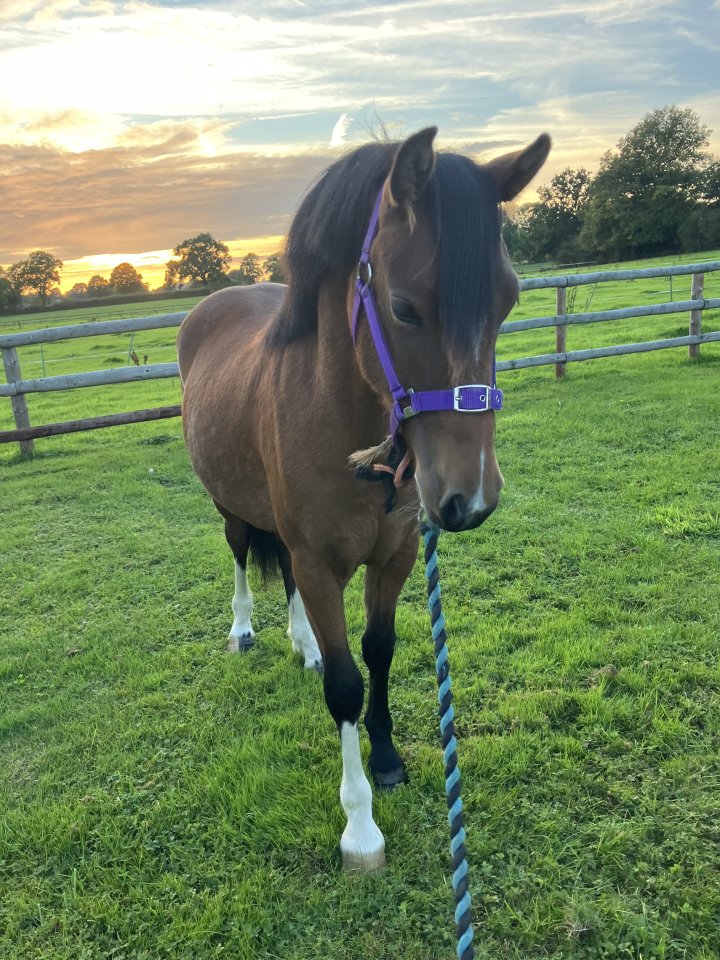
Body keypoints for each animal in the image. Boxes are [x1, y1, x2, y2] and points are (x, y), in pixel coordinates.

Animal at [177, 126, 550, 870]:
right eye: (404, 307)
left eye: (509, 300)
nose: (471, 497)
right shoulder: (322, 563)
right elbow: (346, 687)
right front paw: (360, 826)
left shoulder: (397, 552)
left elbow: (377, 651)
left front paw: (384, 757)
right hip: (232, 510)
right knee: (240, 555)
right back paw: (243, 630)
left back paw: (306, 645)